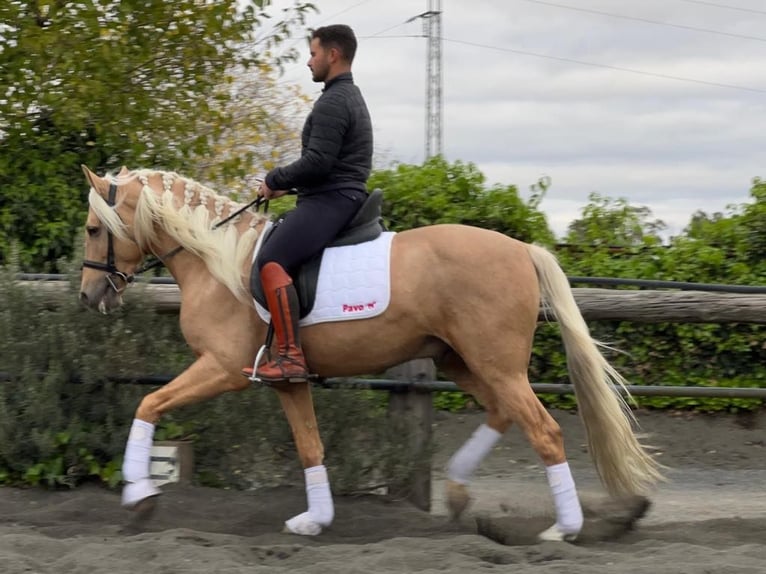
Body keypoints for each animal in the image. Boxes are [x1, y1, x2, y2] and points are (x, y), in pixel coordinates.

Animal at [81, 165, 664, 540]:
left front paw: (137, 498)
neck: (217, 259)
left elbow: (149, 404)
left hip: (495, 365)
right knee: (504, 414)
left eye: (92, 229)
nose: (89, 297)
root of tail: (522, 249)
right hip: (462, 362)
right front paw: (314, 521)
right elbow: (310, 447)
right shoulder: (286, 380)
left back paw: (562, 529)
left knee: (543, 431)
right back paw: (459, 495)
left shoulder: (220, 368)